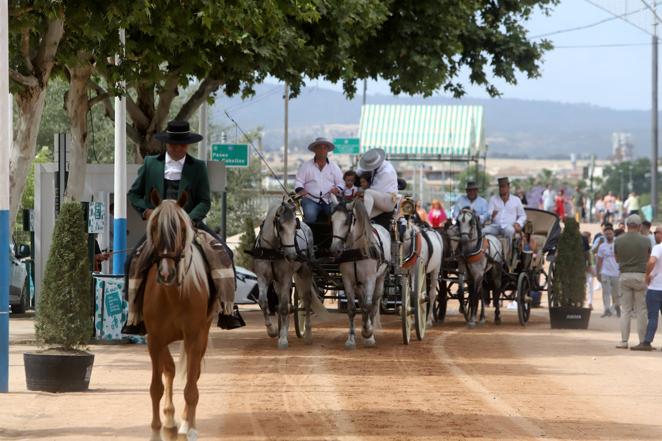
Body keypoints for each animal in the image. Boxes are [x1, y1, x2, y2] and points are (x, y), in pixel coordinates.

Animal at [253, 199, 326, 348]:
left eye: (294, 227)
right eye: (280, 227)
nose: (292, 255)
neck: (272, 251)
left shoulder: (285, 278)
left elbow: (284, 307)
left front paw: (283, 339)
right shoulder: (262, 277)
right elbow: (264, 302)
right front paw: (272, 331)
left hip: (305, 271)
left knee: (306, 300)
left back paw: (307, 334)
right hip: (277, 282)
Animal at [330, 196, 392, 348]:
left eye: (346, 221)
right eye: (331, 220)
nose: (335, 249)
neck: (356, 251)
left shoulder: (370, 279)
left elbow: (368, 307)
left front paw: (368, 333)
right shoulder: (347, 280)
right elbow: (352, 308)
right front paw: (351, 339)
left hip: (380, 279)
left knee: (373, 305)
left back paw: (370, 333)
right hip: (358, 285)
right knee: (363, 303)